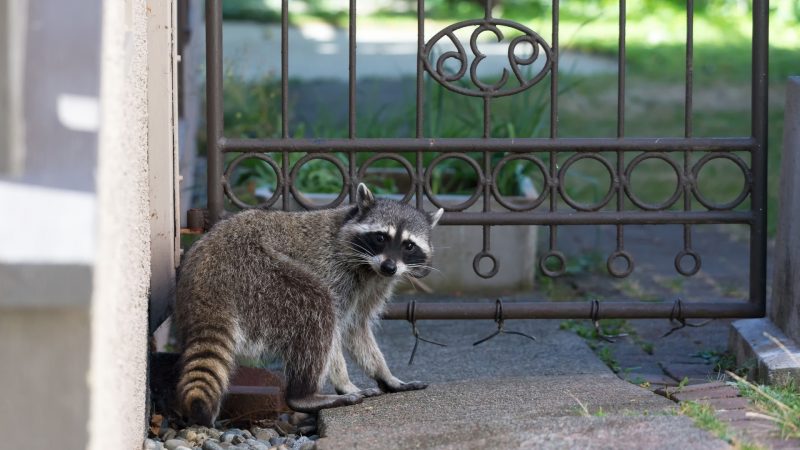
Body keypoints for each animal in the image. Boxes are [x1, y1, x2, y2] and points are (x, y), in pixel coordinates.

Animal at [174, 183, 444, 426]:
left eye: (409, 245)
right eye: (380, 237)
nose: (390, 267)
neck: (369, 267)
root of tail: (207, 276)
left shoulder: (373, 287)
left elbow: (357, 329)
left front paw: (386, 376)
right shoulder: (334, 271)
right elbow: (335, 331)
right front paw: (344, 383)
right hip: (258, 274)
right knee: (317, 307)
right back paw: (304, 395)